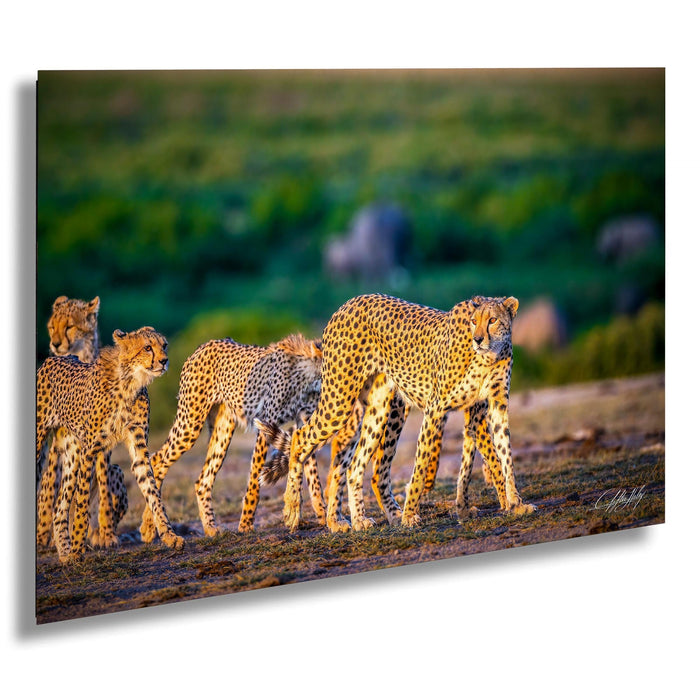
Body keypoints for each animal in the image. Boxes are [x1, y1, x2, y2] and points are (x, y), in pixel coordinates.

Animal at [36, 295, 128, 549]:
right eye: (51, 327)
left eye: (70, 326)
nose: (55, 344)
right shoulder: (58, 442)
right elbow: (51, 484)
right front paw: (45, 533)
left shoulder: (103, 444)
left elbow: (101, 486)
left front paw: (106, 534)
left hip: (118, 470)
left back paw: (94, 533)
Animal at [36, 326, 183, 562]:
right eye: (147, 347)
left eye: (164, 345)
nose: (164, 361)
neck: (130, 382)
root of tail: (53, 359)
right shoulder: (89, 451)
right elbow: (82, 504)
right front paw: (78, 549)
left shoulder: (138, 447)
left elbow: (152, 492)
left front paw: (170, 536)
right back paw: (68, 550)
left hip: (72, 453)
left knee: (59, 506)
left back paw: (65, 554)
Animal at [139, 333, 361, 541]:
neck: (307, 378)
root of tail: (205, 345)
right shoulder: (266, 421)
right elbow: (255, 477)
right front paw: (245, 524)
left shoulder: (303, 420)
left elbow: (311, 471)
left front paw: (323, 514)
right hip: (190, 423)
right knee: (157, 460)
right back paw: (150, 528)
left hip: (223, 430)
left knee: (202, 480)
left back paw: (209, 528)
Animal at [260, 293, 535, 533]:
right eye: (474, 321)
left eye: (493, 320)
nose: (478, 339)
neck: (489, 355)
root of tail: (348, 303)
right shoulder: (436, 409)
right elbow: (421, 465)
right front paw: (410, 514)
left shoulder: (493, 407)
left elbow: (502, 456)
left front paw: (515, 503)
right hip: (340, 401)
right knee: (301, 439)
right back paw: (293, 511)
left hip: (379, 409)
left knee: (354, 464)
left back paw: (353, 521)